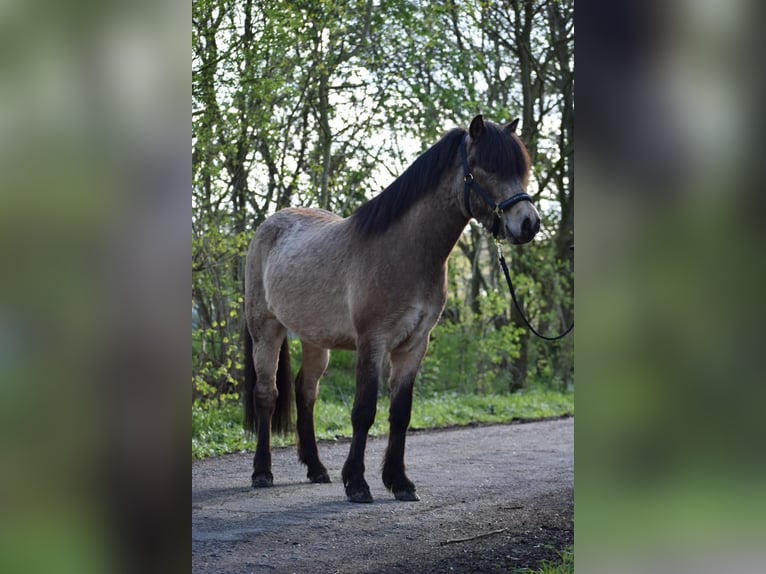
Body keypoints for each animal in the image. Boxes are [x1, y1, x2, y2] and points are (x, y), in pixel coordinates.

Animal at [244, 116, 540, 504]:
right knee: (267, 395)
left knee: (305, 393)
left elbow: (400, 413)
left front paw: (400, 482)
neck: (406, 252)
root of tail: (268, 225)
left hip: (315, 340)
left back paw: (317, 469)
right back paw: (262, 472)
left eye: (521, 169)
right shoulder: (373, 342)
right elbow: (364, 411)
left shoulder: (414, 345)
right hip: (266, 330)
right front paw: (357, 483)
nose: (529, 224)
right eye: (483, 168)